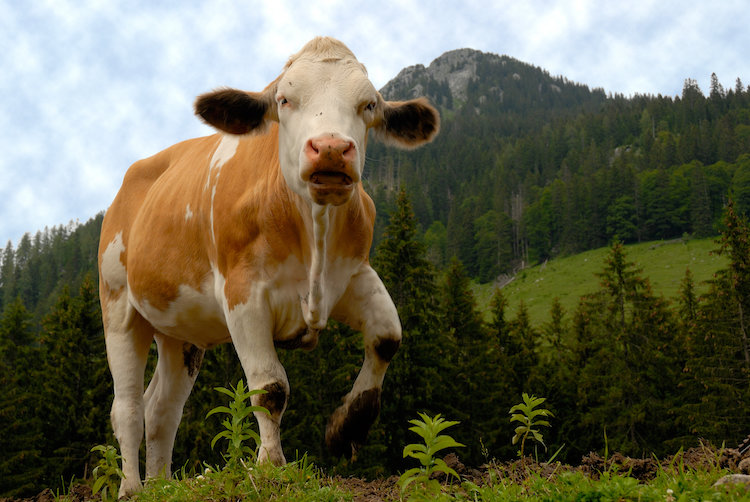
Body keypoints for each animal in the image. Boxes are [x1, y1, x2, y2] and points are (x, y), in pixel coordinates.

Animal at [97, 36, 439, 497]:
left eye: (369, 104)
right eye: (284, 99)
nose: (331, 148)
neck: (312, 229)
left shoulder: (352, 275)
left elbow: (387, 338)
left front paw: (346, 429)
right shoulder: (244, 294)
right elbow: (269, 386)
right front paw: (271, 463)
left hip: (179, 331)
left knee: (161, 409)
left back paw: (162, 485)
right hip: (119, 307)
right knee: (128, 408)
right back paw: (132, 488)